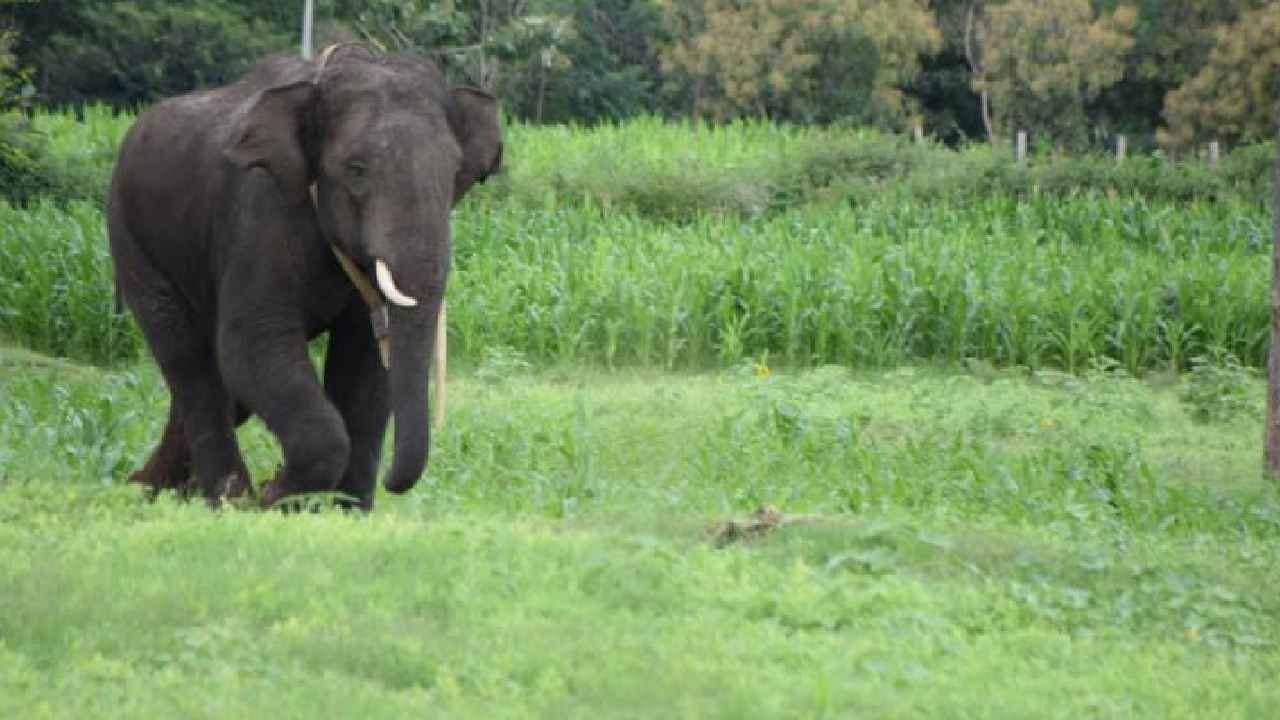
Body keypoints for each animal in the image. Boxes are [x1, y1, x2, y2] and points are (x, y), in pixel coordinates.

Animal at [107, 44, 501, 507]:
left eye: (456, 172)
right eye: (356, 169)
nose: (391, 482)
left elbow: (365, 365)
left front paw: (341, 511)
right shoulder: (260, 216)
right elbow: (252, 347)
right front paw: (275, 499)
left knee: (224, 392)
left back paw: (157, 489)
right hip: (133, 240)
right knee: (189, 361)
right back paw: (225, 499)